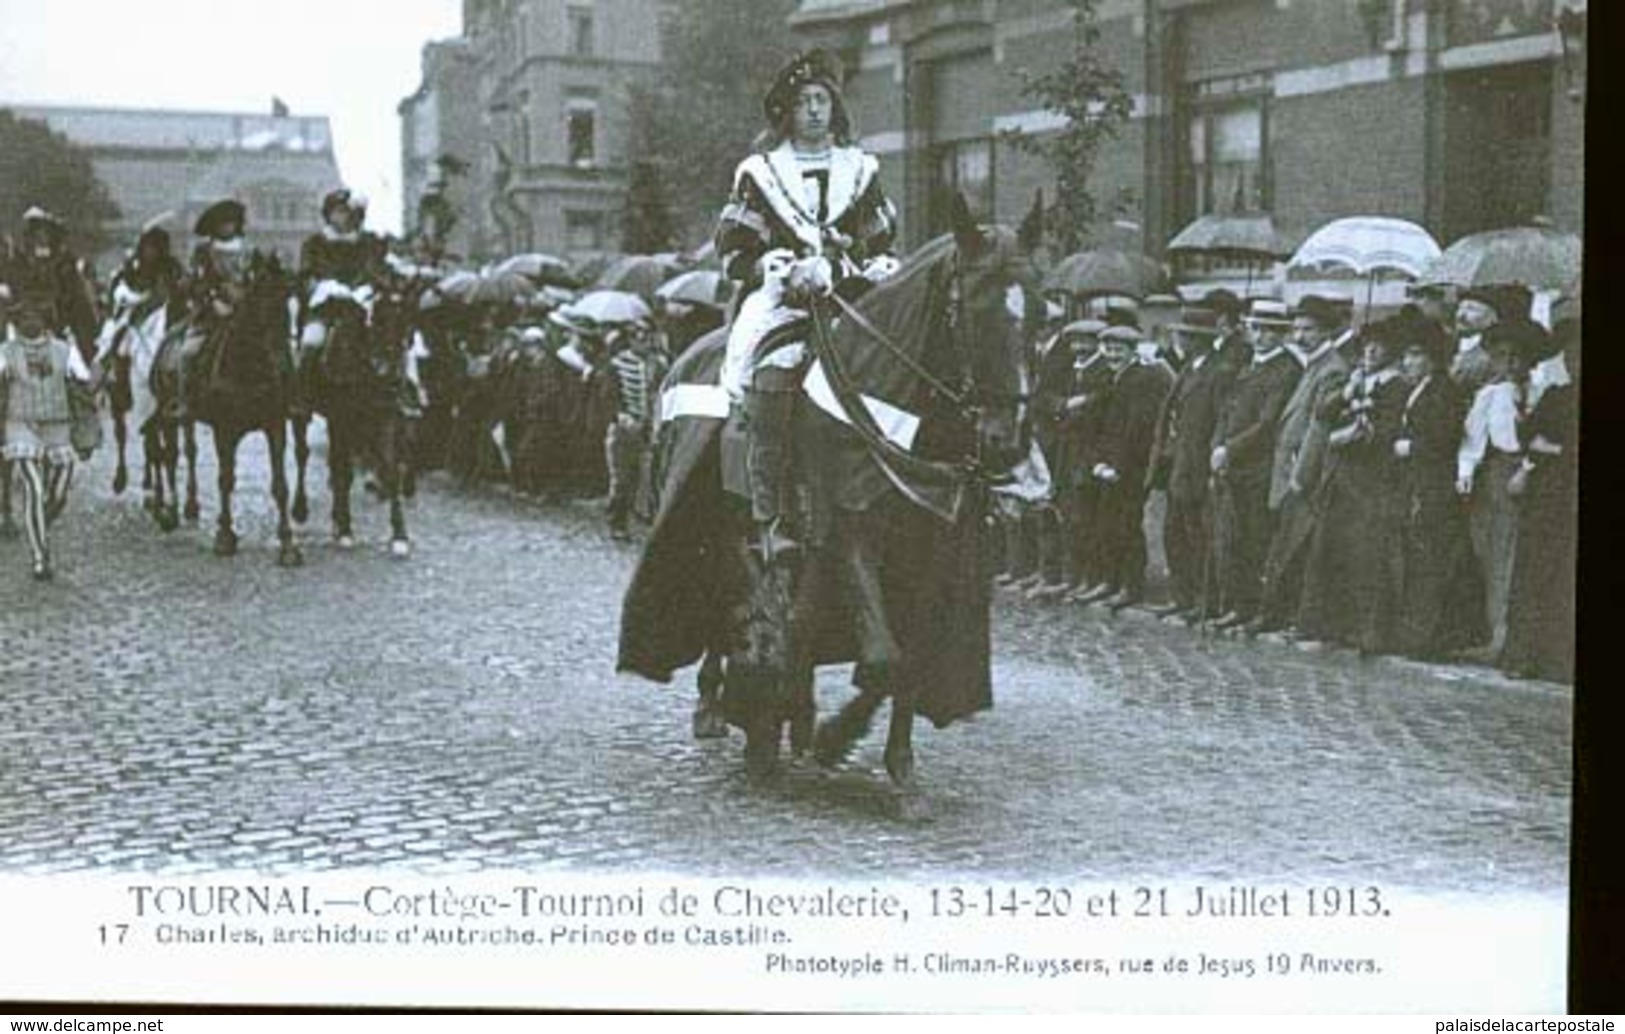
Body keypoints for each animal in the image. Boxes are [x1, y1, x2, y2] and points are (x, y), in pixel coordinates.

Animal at [620, 193, 1040, 799]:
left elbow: (905, 660)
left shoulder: (929, 555)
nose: (1007, 441)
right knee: (729, 596)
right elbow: (883, 658)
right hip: (720, 517)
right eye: (973, 308)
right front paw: (822, 735)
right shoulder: (846, 536)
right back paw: (719, 708)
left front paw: (892, 761)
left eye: (1042, 310)